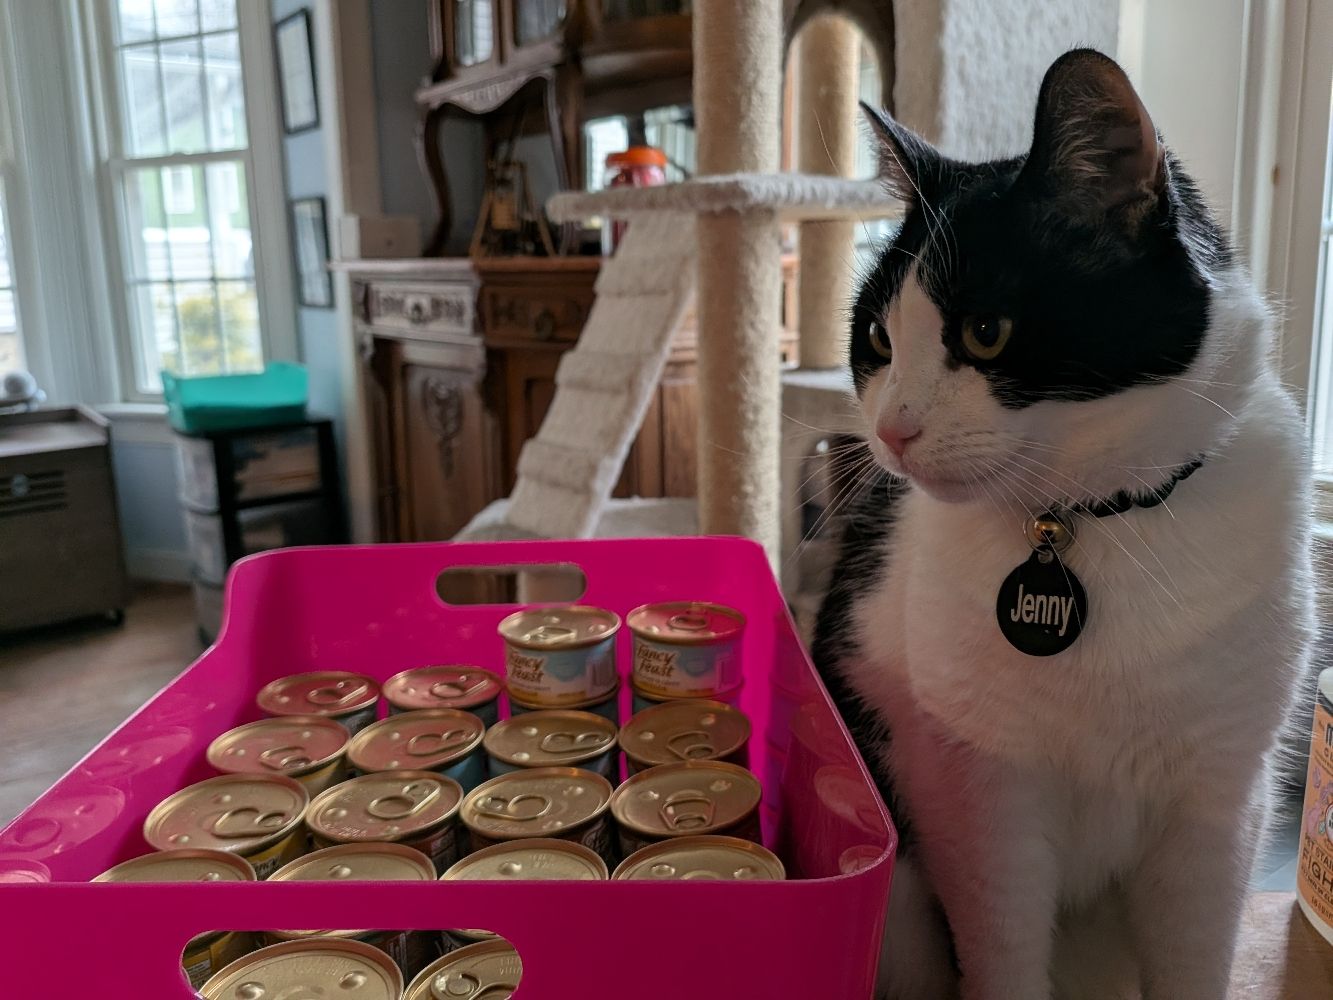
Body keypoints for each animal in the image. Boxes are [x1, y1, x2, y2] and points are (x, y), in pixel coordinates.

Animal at [812, 49, 1314, 1000]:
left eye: (986, 331)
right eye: (878, 341)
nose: (890, 430)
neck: (1092, 523)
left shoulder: (1220, 799)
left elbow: (1193, 956)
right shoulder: (979, 796)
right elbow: (1003, 949)